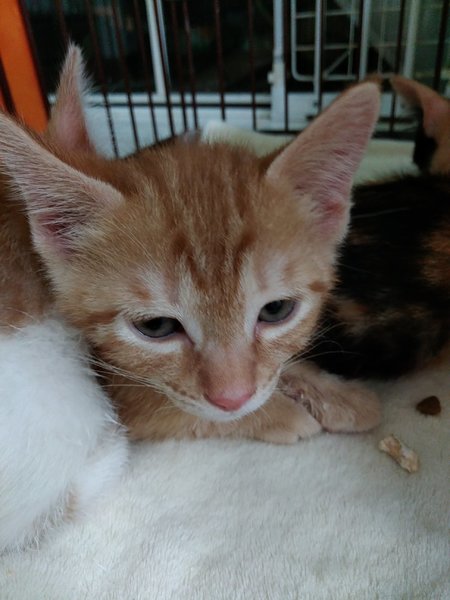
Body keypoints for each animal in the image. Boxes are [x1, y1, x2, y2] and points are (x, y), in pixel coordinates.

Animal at [0, 46, 382, 444]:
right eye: (156, 327)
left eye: (277, 310)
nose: (233, 398)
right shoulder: (117, 398)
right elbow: (176, 409)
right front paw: (281, 413)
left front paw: (335, 393)